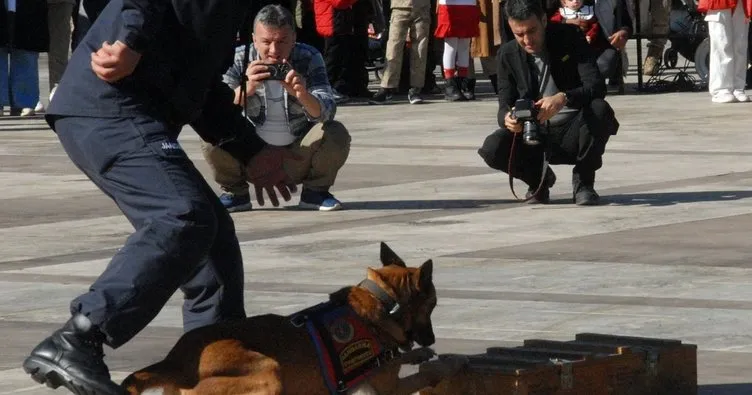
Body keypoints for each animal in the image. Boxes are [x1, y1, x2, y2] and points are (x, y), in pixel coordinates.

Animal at [122, 243, 464, 394]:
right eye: (433, 305)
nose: (432, 338)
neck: (382, 301)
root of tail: (176, 362)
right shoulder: (389, 390)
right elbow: (424, 375)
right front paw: (444, 366)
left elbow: (403, 357)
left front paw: (420, 353)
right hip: (269, 373)